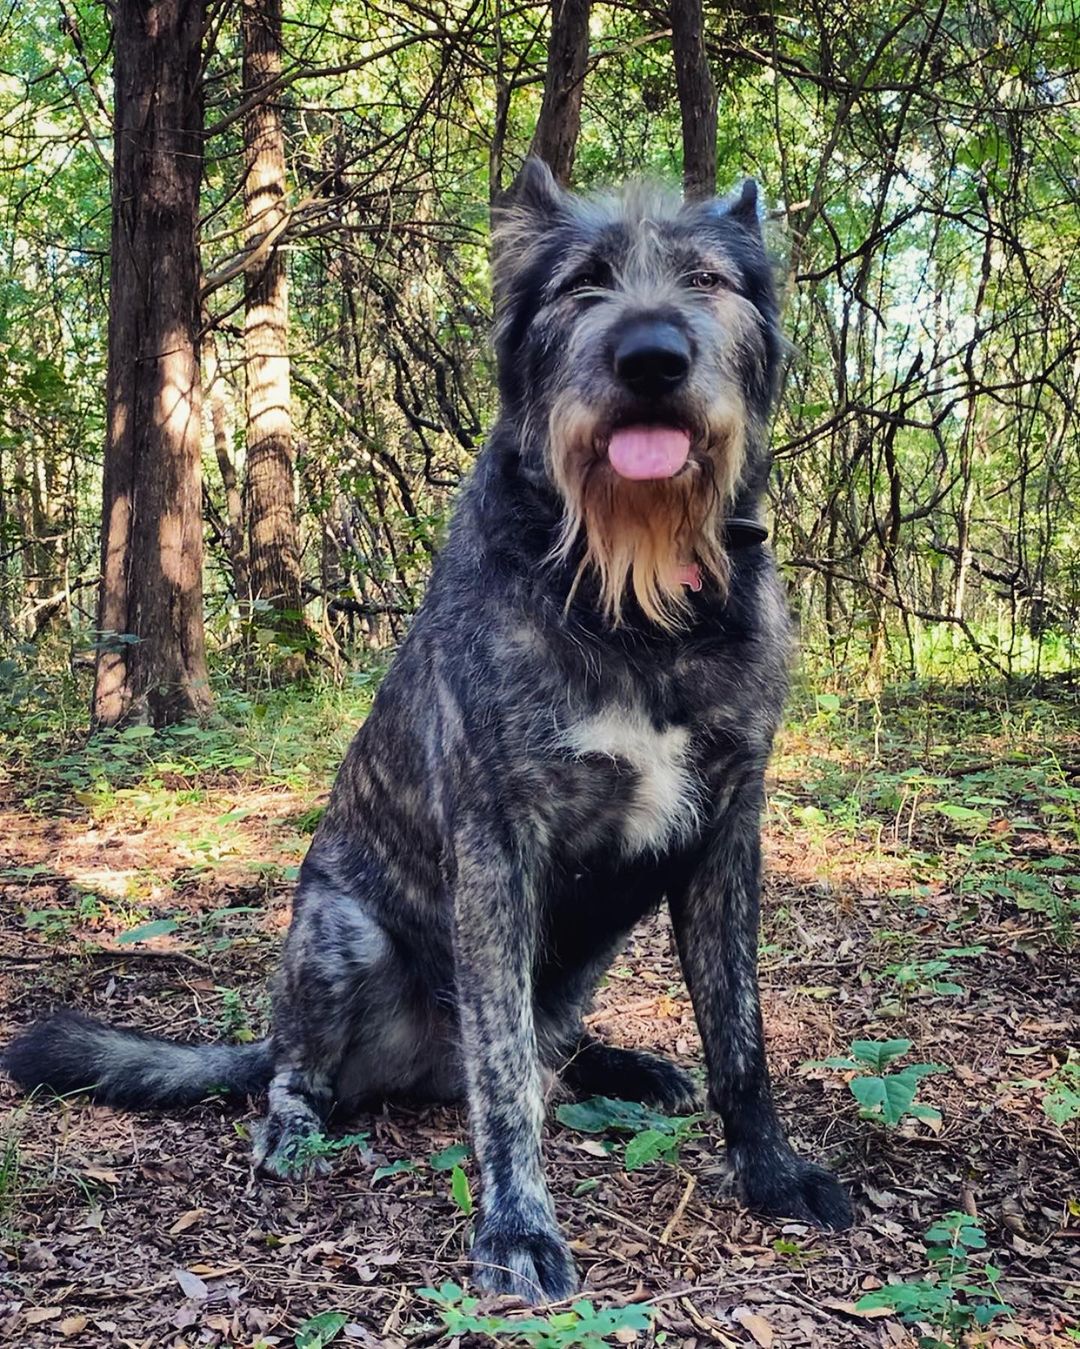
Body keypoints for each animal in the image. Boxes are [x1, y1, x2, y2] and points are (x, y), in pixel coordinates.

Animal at [6, 157, 852, 1295]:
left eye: (708, 280)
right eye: (582, 282)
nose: (651, 357)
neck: (629, 599)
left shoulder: (727, 831)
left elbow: (742, 1035)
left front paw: (771, 1168)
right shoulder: (497, 846)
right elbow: (502, 1075)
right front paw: (518, 1224)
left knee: (553, 1054)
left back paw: (623, 1067)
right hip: (341, 933)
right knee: (315, 1073)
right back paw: (294, 1126)